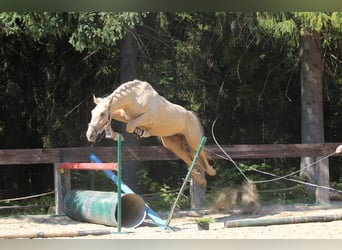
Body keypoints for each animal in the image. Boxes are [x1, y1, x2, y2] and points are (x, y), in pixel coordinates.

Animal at [87, 79, 216, 186]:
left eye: (102, 114)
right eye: (92, 112)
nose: (89, 135)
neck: (134, 98)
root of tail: (192, 115)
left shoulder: (147, 117)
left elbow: (130, 126)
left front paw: (138, 133)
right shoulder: (125, 116)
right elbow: (115, 116)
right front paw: (115, 135)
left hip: (194, 140)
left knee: (202, 153)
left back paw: (211, 171)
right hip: (171, 144)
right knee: (189, 158)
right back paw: (200, 179)